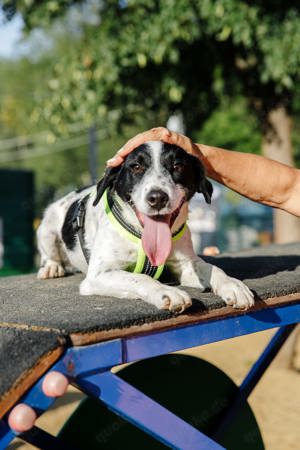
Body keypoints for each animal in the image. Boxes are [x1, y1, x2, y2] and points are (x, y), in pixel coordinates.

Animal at [36, 141, 254, 312]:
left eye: (177, 165)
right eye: (135, 167)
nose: (157, 198)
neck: (140, 235)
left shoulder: (184, 264)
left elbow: (212, 268)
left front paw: (232, 284)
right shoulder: (100, 274)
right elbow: (140, 278)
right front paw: (166, 291)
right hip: (46, 230)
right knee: (50, 255)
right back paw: (52, 267)